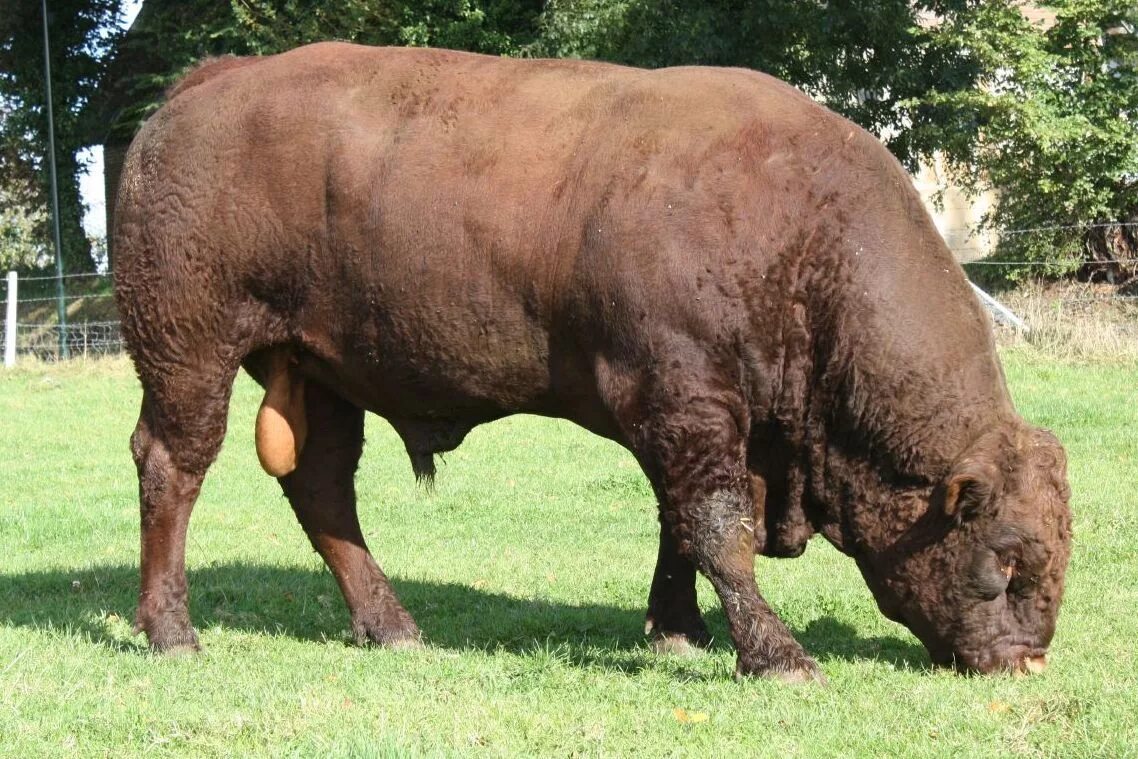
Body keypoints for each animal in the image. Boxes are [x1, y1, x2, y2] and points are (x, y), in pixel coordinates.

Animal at [110, 42, 1069, 682]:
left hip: (319, 370)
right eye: (1007, 558)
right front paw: (777, 654)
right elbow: (719, 528)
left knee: (322, 489)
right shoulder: (686, 405)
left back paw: (392, 625)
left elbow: (682, 525)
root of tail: (207, 83)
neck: (802, 234)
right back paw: (172, 632)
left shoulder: (705, 423)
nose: (1026, 660)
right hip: (190, 355)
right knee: (173, 466)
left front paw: (678, 628)